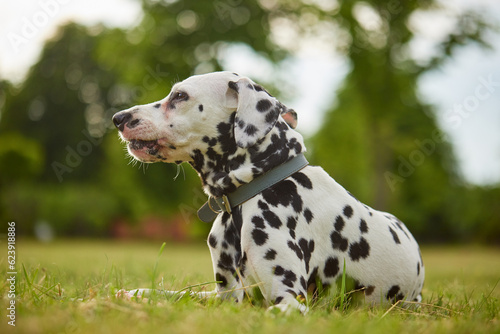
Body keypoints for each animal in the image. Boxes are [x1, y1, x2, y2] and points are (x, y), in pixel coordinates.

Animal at [111, 71, 424, 314]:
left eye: (179, 96)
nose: (118, 117)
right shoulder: (227, 296)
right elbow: (178, 294)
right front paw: (134, 295)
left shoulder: (290, 300)